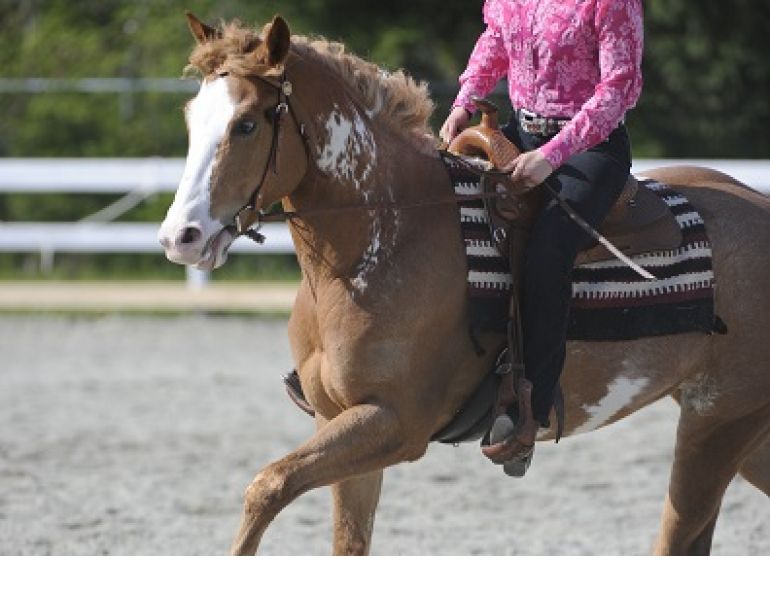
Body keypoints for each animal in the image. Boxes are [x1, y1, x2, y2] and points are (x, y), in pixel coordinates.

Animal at [158, 14, 770, 555]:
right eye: (191, 118)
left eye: (247, 123)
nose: (181, 236)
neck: (382, 242)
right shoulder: (341, 422)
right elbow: (343, 540)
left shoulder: (393, 424)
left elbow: (268, 485)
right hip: (743, 434)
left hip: (717, 424)